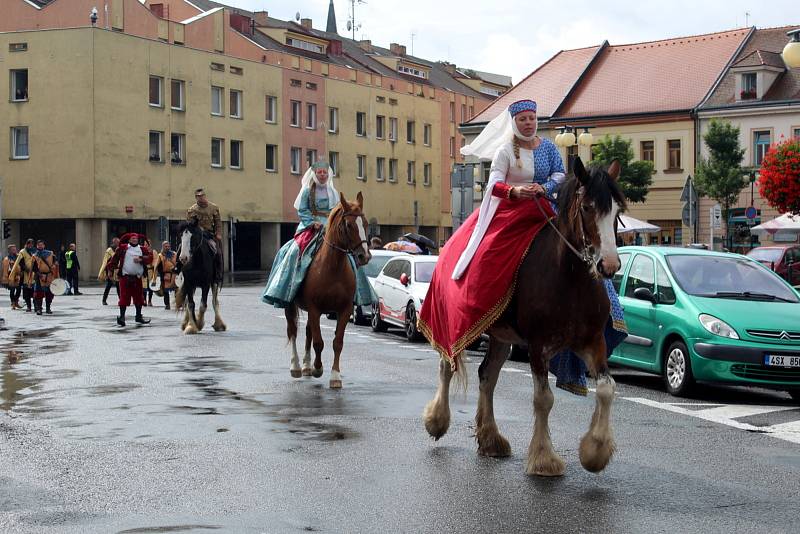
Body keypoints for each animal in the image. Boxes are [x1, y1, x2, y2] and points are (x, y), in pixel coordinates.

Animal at [284, 192, 372, 390]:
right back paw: (296, 366)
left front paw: (335, 376)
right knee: (293, 331)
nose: (364, 256)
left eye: (366, 223)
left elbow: (337, 342)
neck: (332, 269)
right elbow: (318, 343)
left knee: (308, 331)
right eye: (349, 225)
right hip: (290, 305)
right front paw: (318, 368)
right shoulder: (315, 309)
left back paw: (306, 365)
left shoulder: (344, 310)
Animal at [422, 158, 628, 478]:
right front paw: (544, 459)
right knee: (447, 365)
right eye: (587, 207)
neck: (571, 280)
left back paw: (490, 437)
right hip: (453, 323)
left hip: (499, 335)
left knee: (487, 376)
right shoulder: (537, 346)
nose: (609, 265)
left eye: (618, 211)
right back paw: (437, 420)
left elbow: (607, 389)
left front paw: (595, 451)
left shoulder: (593, 341)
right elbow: (543, 399)